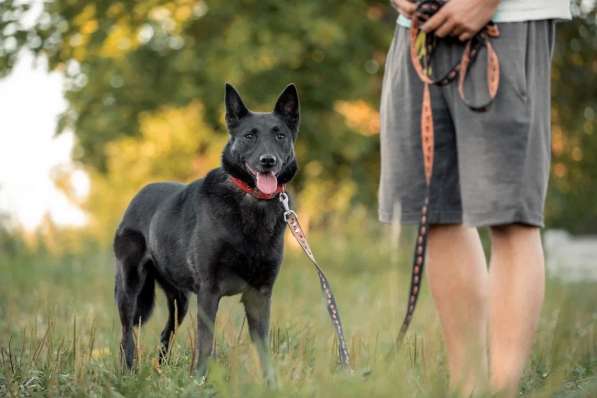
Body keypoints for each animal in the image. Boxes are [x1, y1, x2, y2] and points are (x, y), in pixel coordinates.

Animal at [113, 83, 298, 382]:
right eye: (249, 136)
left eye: (280, 135)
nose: (267, 161)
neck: (250, 203)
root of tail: (137, 196)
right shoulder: (209, 292)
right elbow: (206, 343)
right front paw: (200, 381)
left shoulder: (260, 294)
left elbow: (263, 347)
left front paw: (271, 384)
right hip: (130, 286)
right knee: (127, 332)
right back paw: (129, 372)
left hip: (180, 300)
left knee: (166, 331)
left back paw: (161, 373)